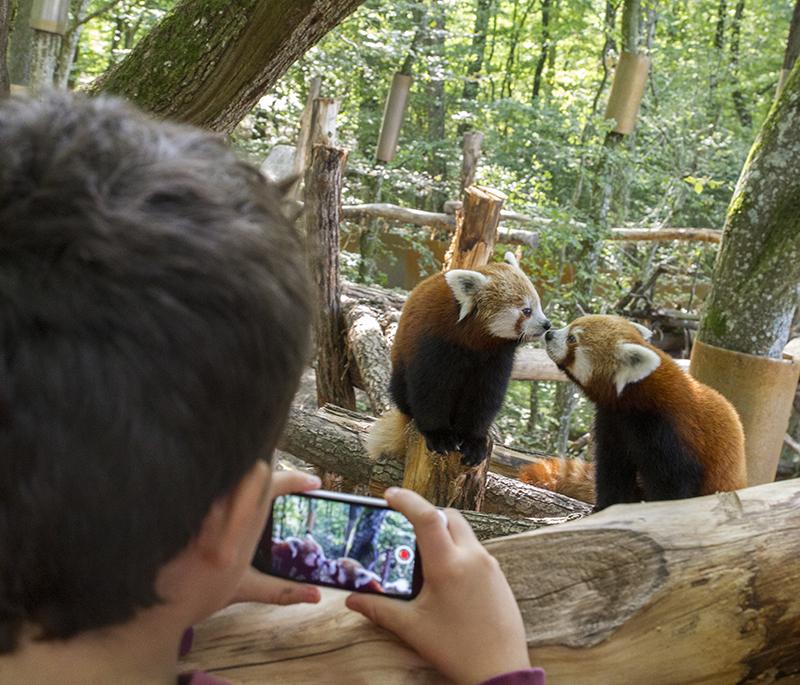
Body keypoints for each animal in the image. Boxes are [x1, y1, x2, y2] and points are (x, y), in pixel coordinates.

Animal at [370, 254, 552, 468]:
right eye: (526, 310)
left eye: (538, 305)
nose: (547, 324)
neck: (474, 341)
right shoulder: (434, 343)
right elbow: (430, 390)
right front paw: (439, 435)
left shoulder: (496, 358)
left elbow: (484, 397)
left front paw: (473, 441)